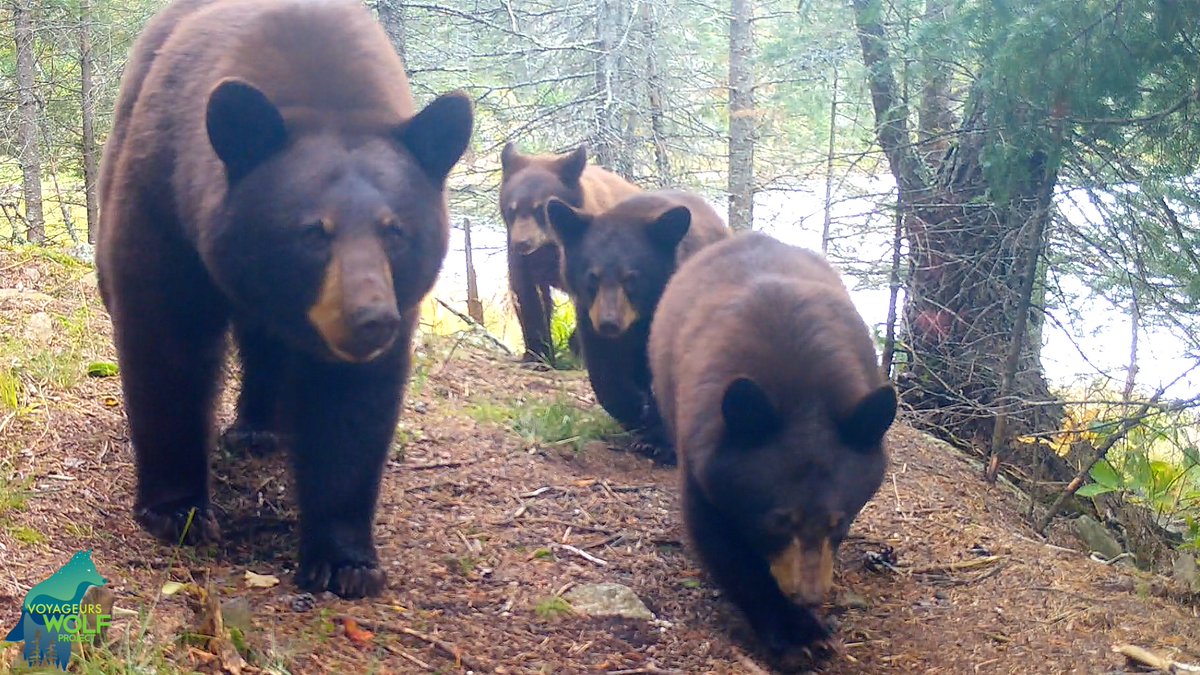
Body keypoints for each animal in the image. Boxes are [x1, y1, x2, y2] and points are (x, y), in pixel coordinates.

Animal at [95, 0, 473, 599]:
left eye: (395, 230)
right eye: (314, 231)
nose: (372, 320)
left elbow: (351, 406)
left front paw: (345, 560)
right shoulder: (164, 198)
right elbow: (168, 344)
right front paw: (177, 511)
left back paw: (259, 428)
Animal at [499, 143, 640, 366]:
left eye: (540, 208)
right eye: (513, 208)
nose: (522, 243)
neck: (550, 243)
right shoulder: (523, 258)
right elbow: (527, 295)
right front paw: (537, 355)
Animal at [546, 190, 730, 464]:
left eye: (632, 277)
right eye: (592, 276)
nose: (609, 323)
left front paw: (658, 442)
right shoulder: (589, 317)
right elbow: (605, 370)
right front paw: (634, 410)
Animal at [647, 231, 896, 658]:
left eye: (839, 521)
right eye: (780, 520)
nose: (810, 596)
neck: (804, 393)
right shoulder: (703, 451)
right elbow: (721, 543)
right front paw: (795, 634)